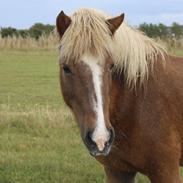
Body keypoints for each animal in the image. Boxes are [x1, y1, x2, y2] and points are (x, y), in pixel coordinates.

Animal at [55, 7, 183, 182]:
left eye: (111, 66)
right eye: (66, 68)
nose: (100, 138)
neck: (136, 101)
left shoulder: (166, 172)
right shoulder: (117, 171)